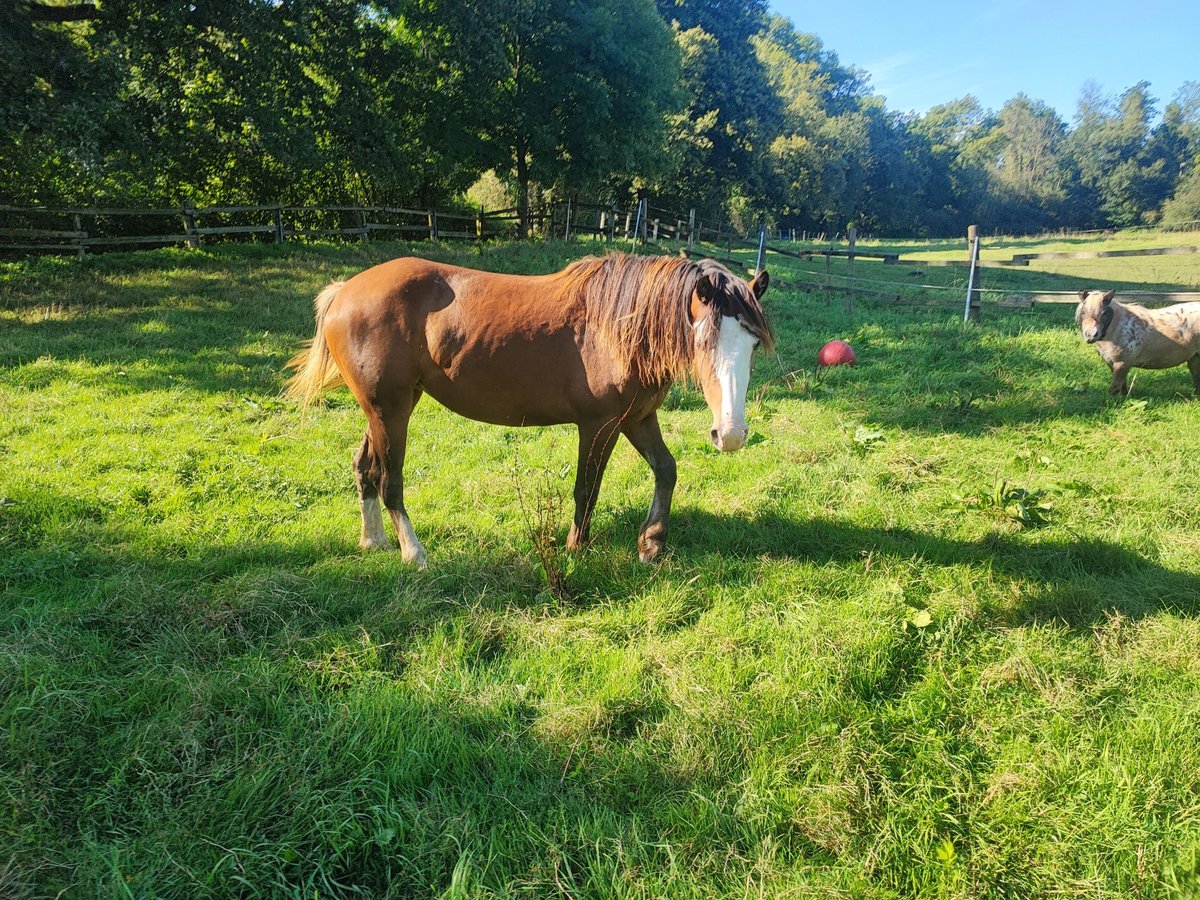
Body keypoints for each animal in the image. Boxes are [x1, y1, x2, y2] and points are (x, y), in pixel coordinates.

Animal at [286, 252, 772, 564]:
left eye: (751, 344)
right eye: (704, 338)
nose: (730, 434)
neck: (618, 327)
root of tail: (343, 291)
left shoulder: (636, 418)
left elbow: (666, 470)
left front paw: (651, 543)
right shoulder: (599, 424)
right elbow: (587, 488)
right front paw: (577, 548)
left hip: (384, 409)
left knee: (365, 469)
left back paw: (374, 543)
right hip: (391, 410)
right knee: (390, 482)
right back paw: (413, 552)